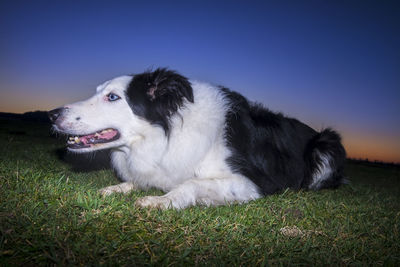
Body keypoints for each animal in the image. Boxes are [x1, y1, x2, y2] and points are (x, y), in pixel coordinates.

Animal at [48, 68, 346, 210]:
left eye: (112, 97)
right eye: (99, 92)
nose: (51, 114)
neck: (166, 134)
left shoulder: (252, 184)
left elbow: (191, 183)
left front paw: (161, 201)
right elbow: (137, 180)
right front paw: (114, 189)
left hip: (327, 145)